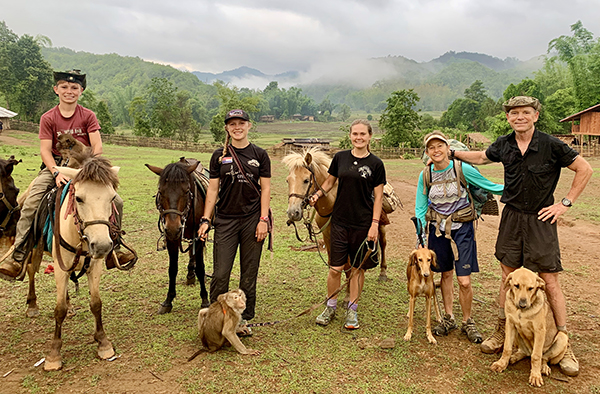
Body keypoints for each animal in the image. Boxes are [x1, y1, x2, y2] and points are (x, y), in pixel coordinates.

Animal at [43, 155, 122, 370]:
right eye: (78, 198)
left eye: (112, 198)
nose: (102, 245)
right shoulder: (60, 268)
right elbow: (59, 309)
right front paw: (54, 355)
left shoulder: (94, 266)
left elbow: (96, 303)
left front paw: (103, 343)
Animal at [146, 157, 210, 314]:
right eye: (160, 191)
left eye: (186, 191)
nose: (173, 228)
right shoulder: (171, 239)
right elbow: (172, 269)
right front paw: (168, 301)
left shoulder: (199, 237)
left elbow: (201, 268)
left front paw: (205, 299)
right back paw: (190, 274)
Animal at [282, 147, 390, 280]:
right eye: (287, 180)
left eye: (306, 180)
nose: (293, 213)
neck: (330, 206)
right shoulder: (327, 237)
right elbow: (332, 263)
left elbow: (348, 266)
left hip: (381, 225)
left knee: (383, 243)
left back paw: (383, 272)